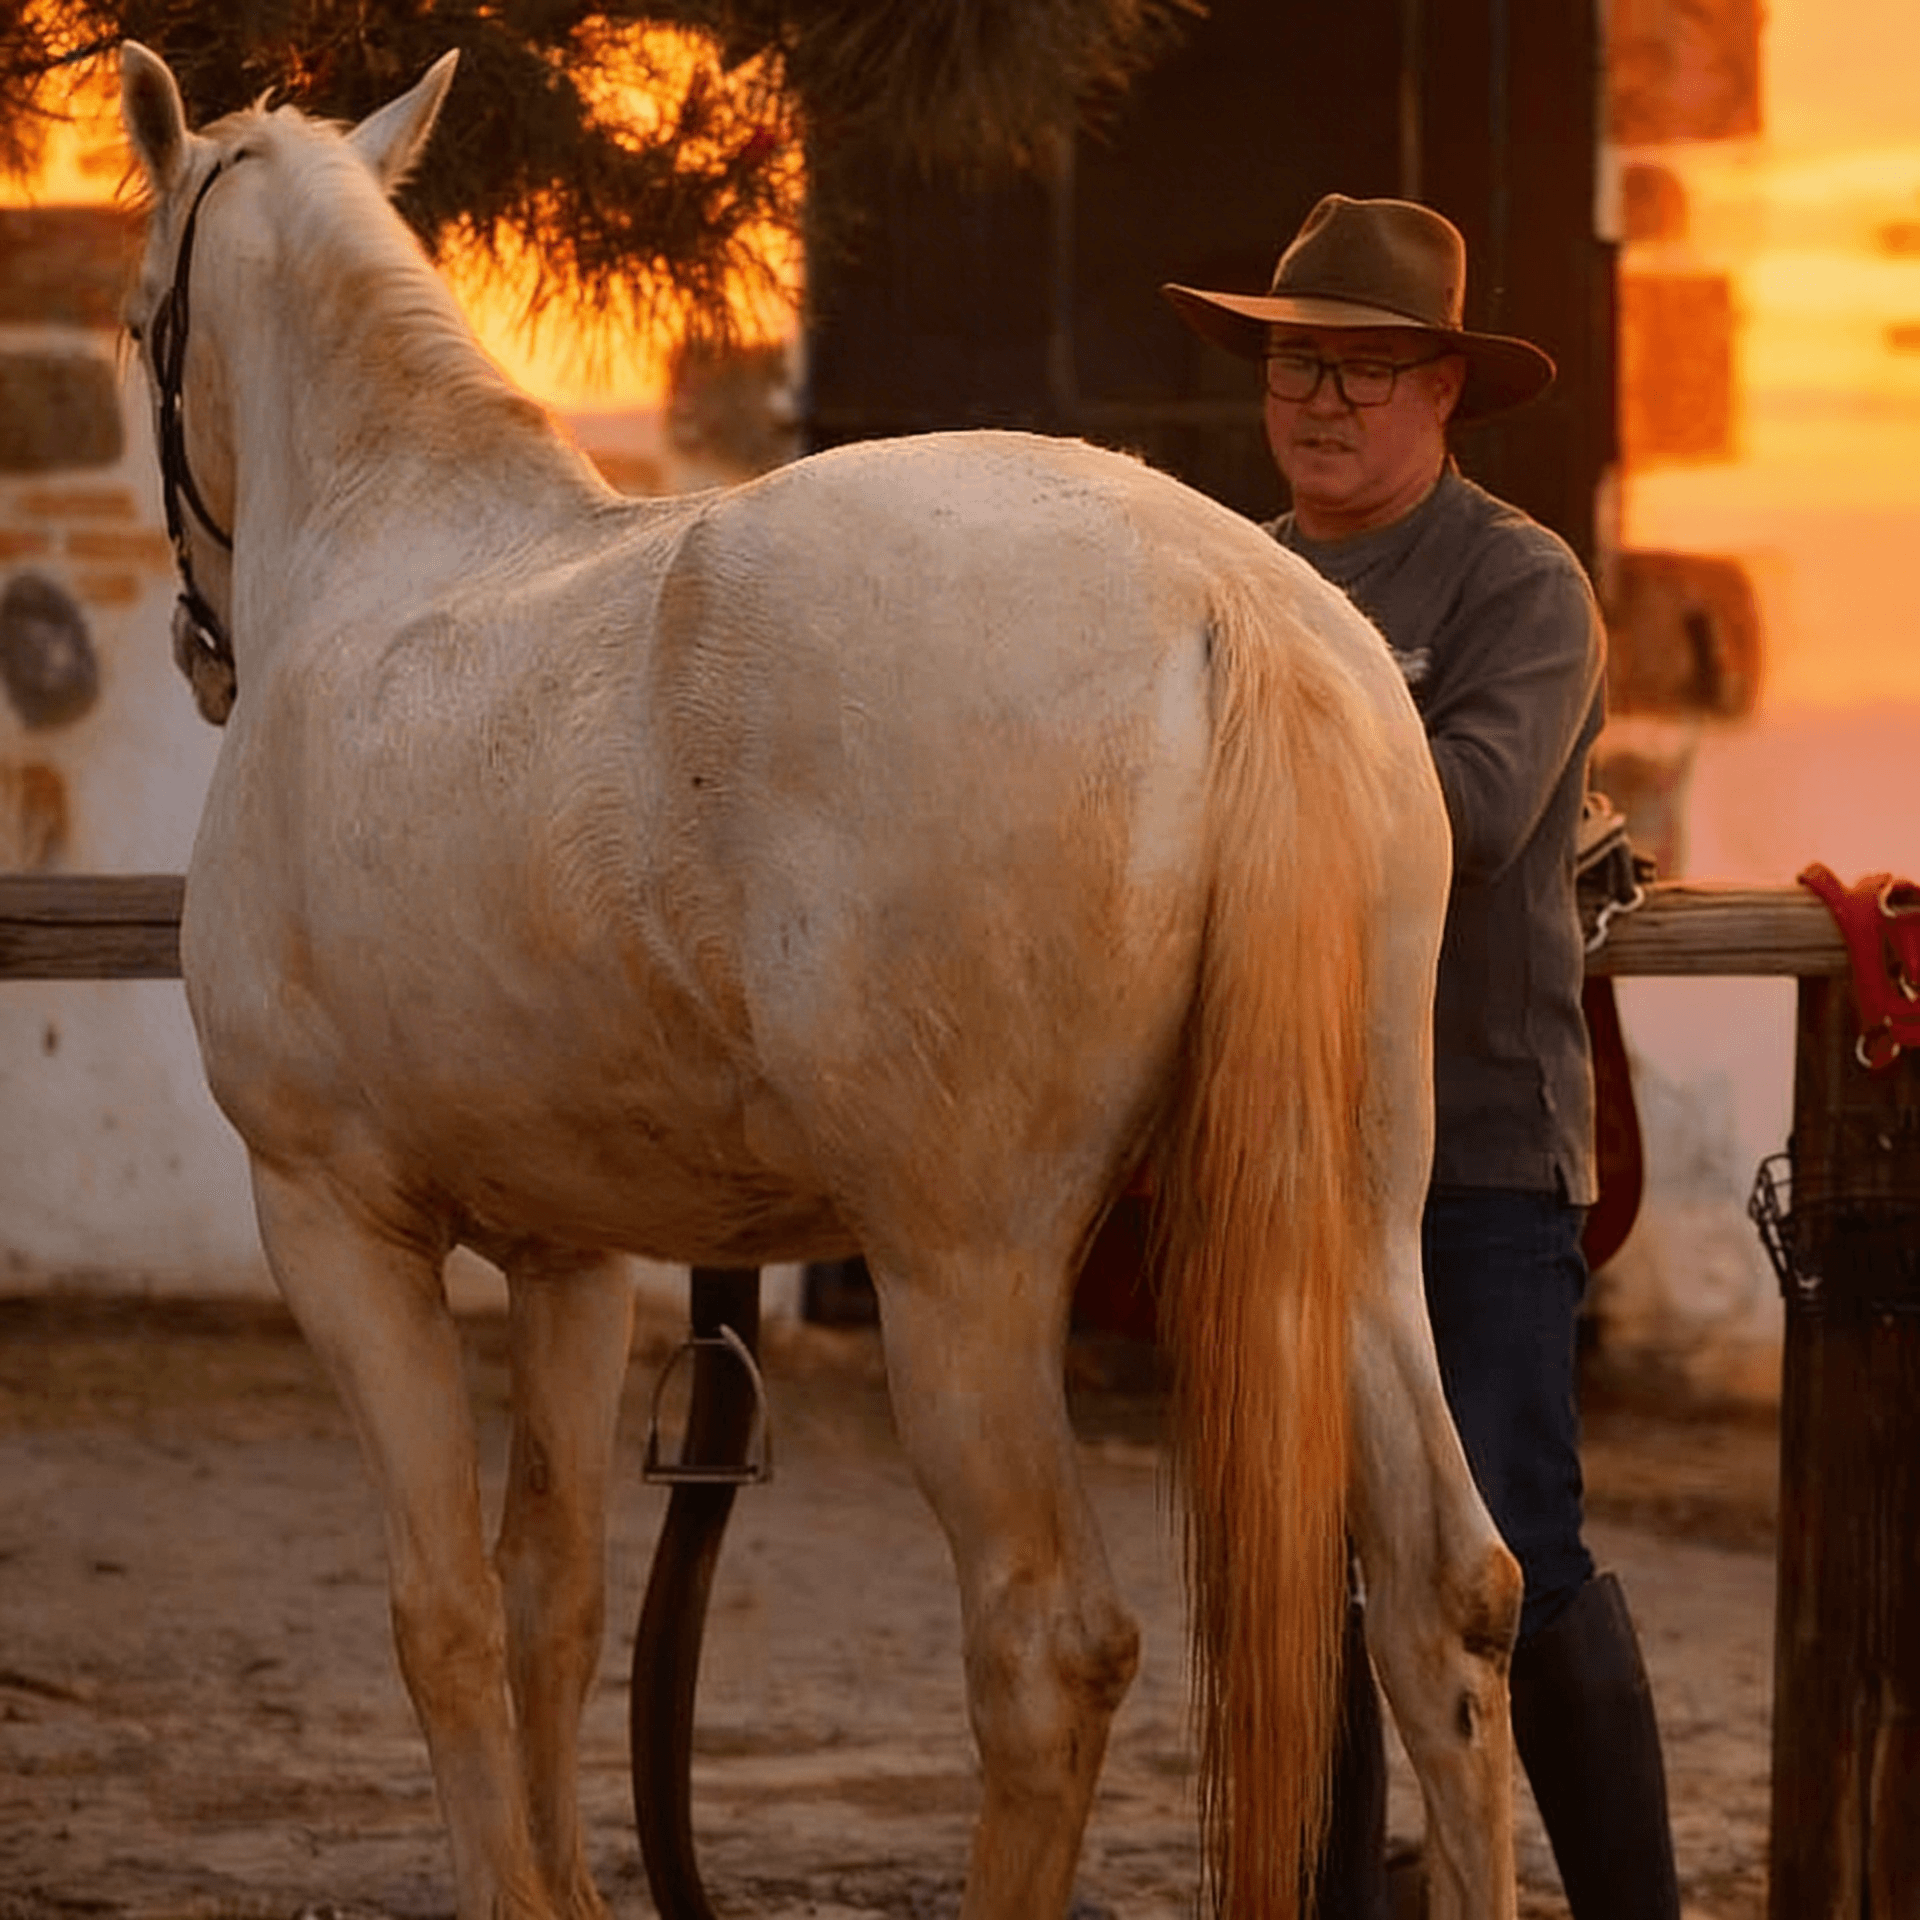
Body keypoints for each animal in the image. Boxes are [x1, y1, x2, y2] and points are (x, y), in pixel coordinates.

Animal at [118, 42, 1521, 1920]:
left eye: (143, 314)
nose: (197, 652)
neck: (392, 556)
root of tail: (1227, 601)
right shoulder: (573, 1259)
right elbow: (555, 1600)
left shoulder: (336, 1224)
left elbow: (446, 1619)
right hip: (1349, 1230)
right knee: (1452, 1603)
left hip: (966, 1276)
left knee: (1049, 1649)